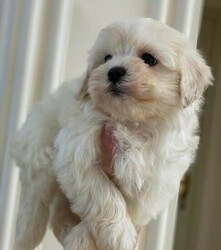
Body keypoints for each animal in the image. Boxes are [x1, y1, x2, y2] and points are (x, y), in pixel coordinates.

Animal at [12, 18, 212, 250]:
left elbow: (135, 206)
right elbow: (103, 195)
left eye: (149, 59)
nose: (114, 71)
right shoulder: (78, 154)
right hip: (40, 164)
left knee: (58, 215)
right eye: (107, 58)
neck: (131, 122)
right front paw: (118, 235)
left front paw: (83, 239)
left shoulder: (159, 175)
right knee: (33, 211)